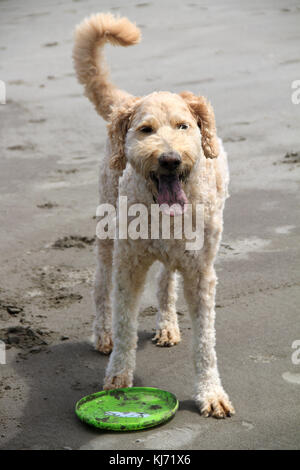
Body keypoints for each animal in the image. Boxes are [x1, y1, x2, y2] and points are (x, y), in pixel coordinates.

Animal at [72, 12, 234, 418]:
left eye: (183, 126)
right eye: (145, 129)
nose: (170, 159)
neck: (164, 215)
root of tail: (128, 100)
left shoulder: (201, 272)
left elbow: (205, 341)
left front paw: (211, 393)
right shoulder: (129, 265)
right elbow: (126, 325)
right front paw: (117, 377)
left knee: (165, 280)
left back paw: (167, 324)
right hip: (106, 237)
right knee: (100, 286)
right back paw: (102, 334)